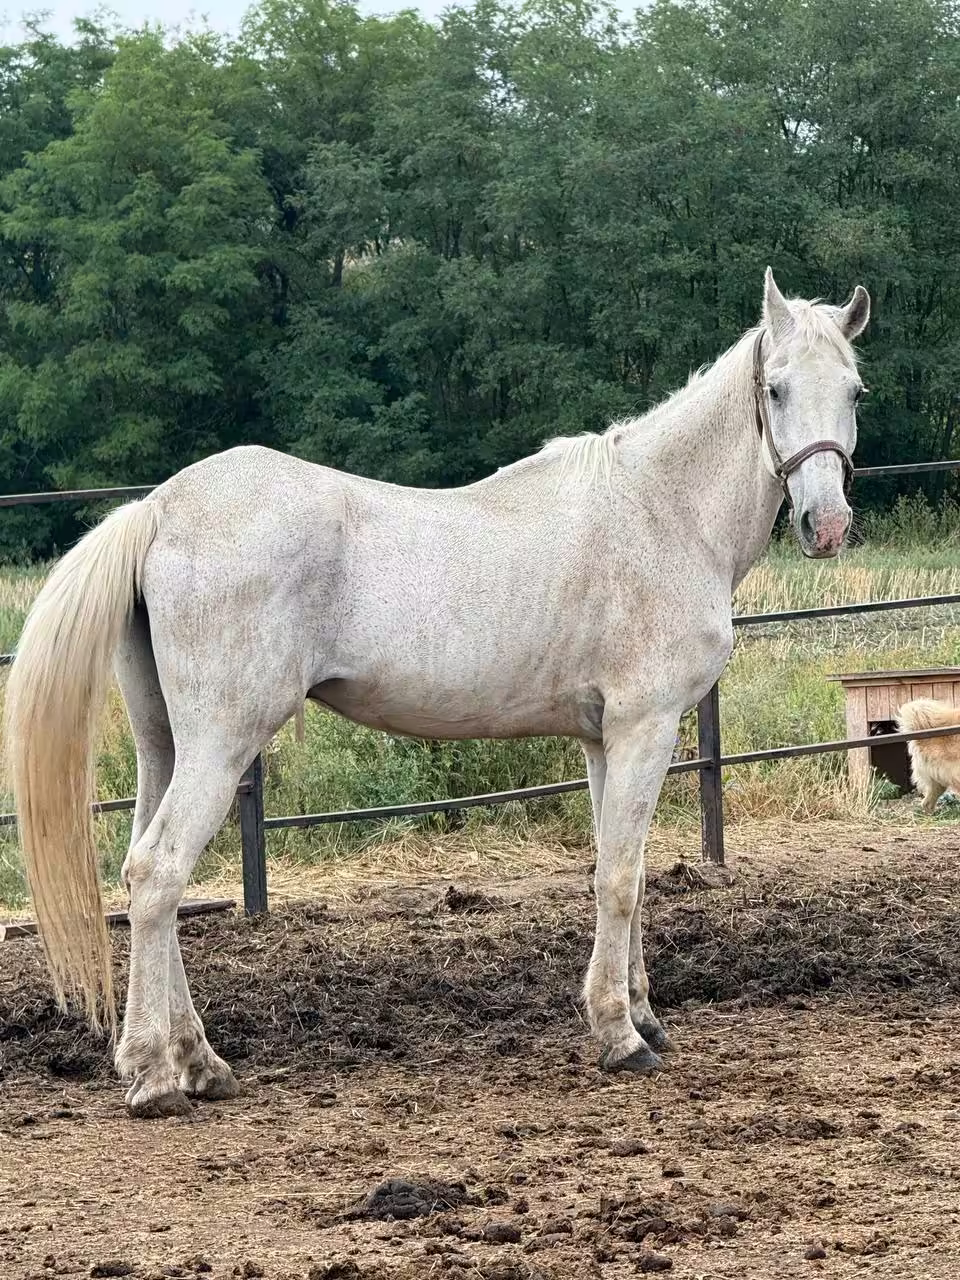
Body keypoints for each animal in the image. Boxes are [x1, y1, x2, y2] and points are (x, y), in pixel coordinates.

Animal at [3, 268, 870, 1117]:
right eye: (777, 388)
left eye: (855, 391)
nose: (826, 526)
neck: (662, 513)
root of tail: (159, 509)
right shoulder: (643, 728)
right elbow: (620, 879)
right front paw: (621, 1037)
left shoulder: (604, 738)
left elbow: (623, 866)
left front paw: (643, 1015)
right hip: (222, 744)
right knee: (159, 873)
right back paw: (155, 1077)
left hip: (165, 744)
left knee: (145, 874)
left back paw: (199, 1064)